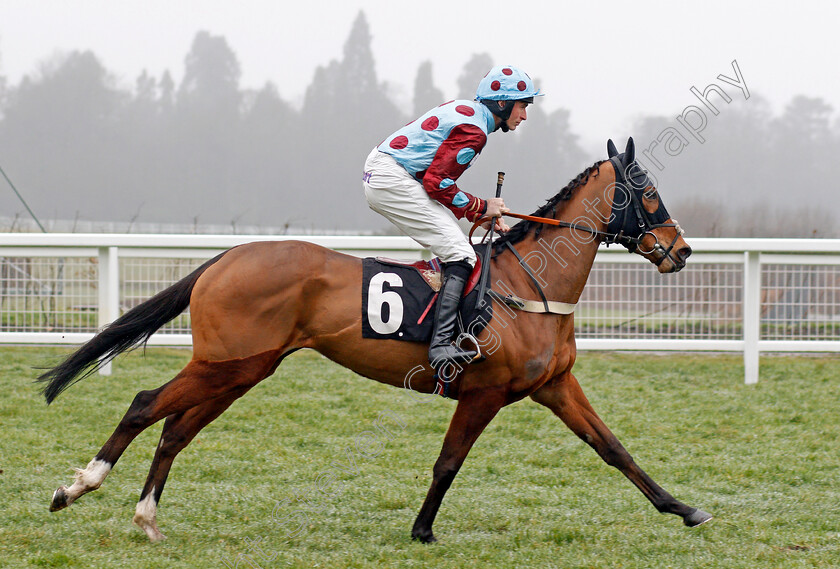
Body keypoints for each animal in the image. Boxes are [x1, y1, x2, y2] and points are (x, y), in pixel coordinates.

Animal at [37, 138, 708, 540]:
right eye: (649, 194)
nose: (680, 251)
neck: (531, 286)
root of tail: (227, 257)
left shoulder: (554, 385)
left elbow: (614, 449)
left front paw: (683, 509)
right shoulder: (483, 394)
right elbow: (448, 462)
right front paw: (422, 530)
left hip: (242, 369)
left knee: (176, 428)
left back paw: (147, 516)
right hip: (226, 364)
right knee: (145, 404)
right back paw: (77, 487)